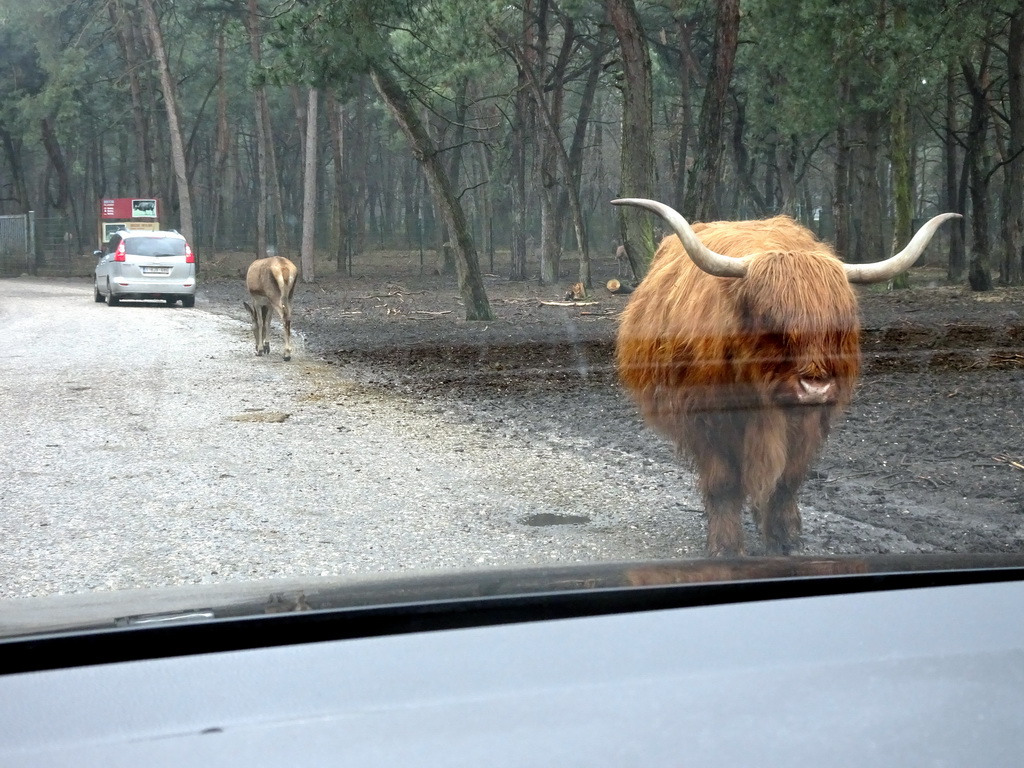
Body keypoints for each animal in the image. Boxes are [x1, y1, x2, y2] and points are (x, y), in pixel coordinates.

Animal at [614, 198, 958, 557]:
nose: (815, 387)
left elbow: (786, 480)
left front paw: (785, 537)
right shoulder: (705, 420)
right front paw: (726, 546)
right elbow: (723, 483)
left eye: (839, 325)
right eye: (770, 321)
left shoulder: (807, 423)